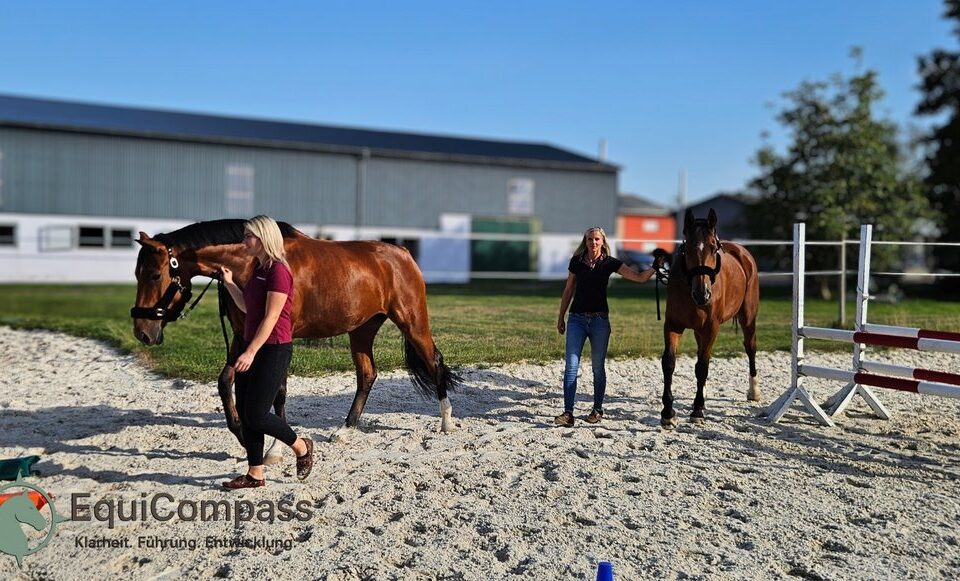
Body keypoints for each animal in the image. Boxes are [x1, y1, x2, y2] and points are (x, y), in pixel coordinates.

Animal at [130, 220, 459, 449]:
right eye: (137, 273)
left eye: (155, 274)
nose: (142, 332)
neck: (252, 264)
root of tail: (402, 253)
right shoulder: (243, 336)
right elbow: (225, 382)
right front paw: (241, 433)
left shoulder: (277, 337)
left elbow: (278, 391)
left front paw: (275, 445)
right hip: (362, 330)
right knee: (367, 375)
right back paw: (345, 430)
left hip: (412, 321)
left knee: (434, 361)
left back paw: (446, 422)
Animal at [659, 208, 760, 428]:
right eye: (687, 248)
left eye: (714, 249)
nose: (702, 294)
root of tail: (742, 253)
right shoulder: (673, 325)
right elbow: (669, 363)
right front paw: (668, 413)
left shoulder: (711, 328)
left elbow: (702, 367)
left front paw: (697, 410)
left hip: (748, 317)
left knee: (750, 347)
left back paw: (754, 391)